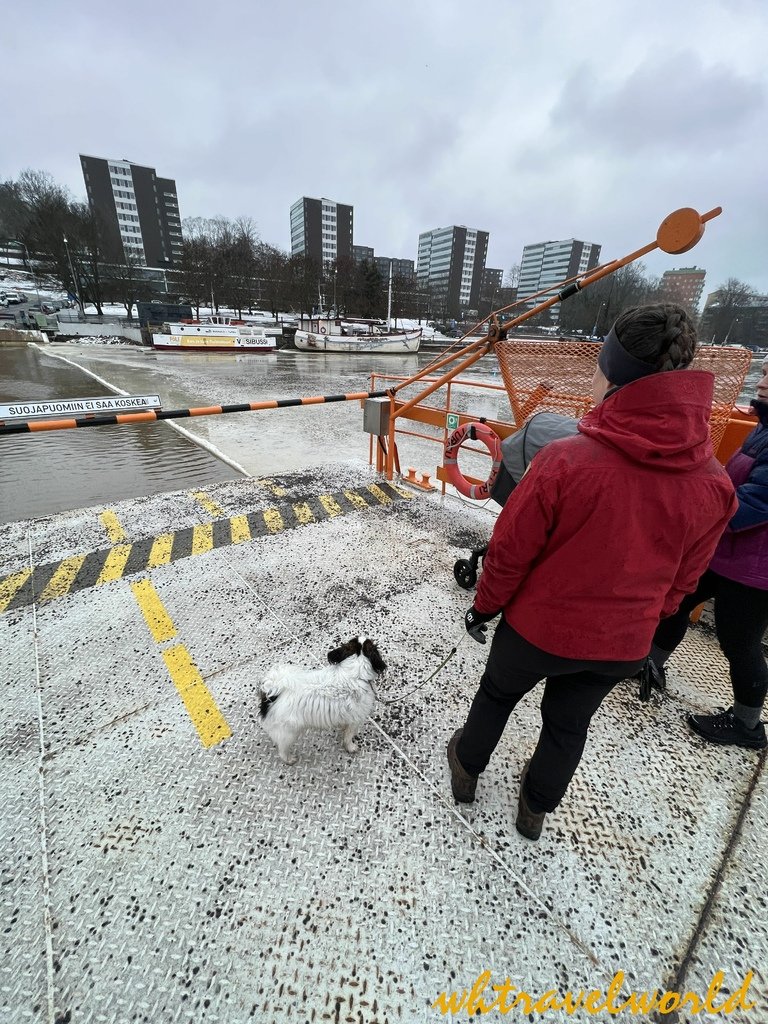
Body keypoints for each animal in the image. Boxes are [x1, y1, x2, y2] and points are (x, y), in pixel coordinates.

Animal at [259, 634, 387, 765]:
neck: (356, 674)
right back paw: (289, 759)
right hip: (289, 733)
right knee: (282, 750)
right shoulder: (354, 721)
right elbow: (348, 737)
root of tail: (272, 694)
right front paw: (351, 747)